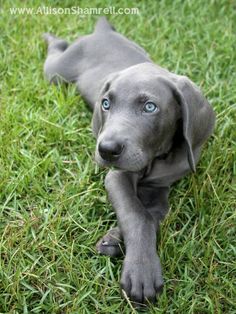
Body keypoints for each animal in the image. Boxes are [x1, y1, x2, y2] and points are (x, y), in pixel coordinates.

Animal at [42, 16, 216, 304]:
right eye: (105, 104)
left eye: (150, 107)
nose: (106, 149)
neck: (156, 156)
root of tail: (101, 31)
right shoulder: (117, 175)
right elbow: (136, 213)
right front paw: (141, 271)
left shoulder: (160, 188)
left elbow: (150, 215)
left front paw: (114, 239)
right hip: (56, 73)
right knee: (56, 51)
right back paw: (50, 37)